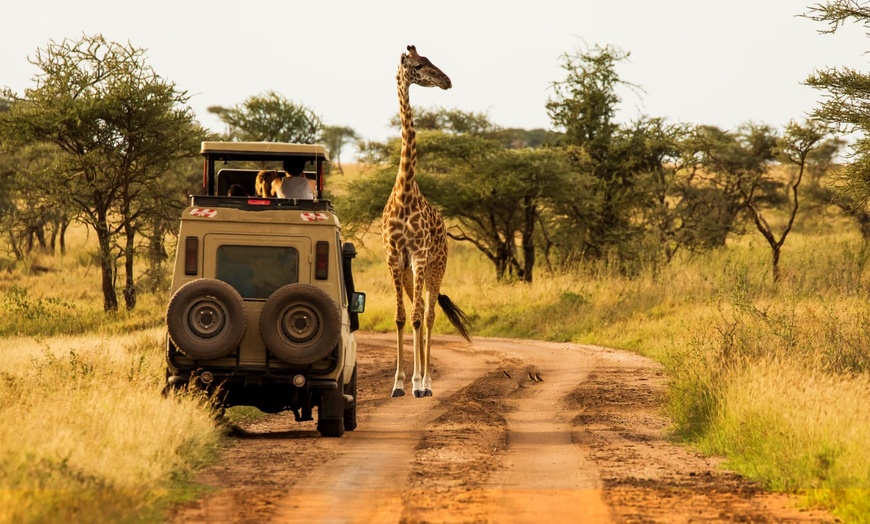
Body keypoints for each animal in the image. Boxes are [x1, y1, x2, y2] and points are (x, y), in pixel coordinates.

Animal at [384, 46, 474, 398]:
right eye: (419, 65)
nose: (447, 81)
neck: (405, 191)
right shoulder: (395, 259)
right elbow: (400, 317)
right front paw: (397, 383)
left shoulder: (420, 257)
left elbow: (418, 317)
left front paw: (418, 383)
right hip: (412, 273)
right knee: (419, 310)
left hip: (437, 267)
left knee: (431, 314)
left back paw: (428, 383)